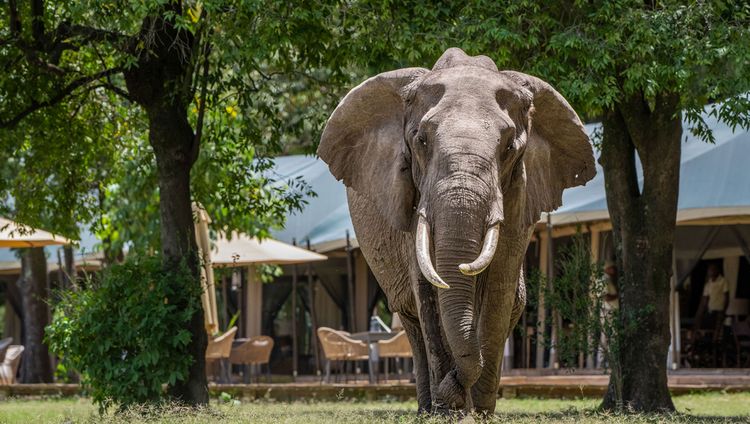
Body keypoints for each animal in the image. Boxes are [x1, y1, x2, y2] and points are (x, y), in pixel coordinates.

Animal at [316, 47, 592, 414]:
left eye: (509, 148)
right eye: (420, 141)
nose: (451, 394)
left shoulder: (521, 199)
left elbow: (498, 289)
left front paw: (475, 411)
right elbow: (427, 292)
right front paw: (449, 411)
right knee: (411, 320)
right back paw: (426, 407)